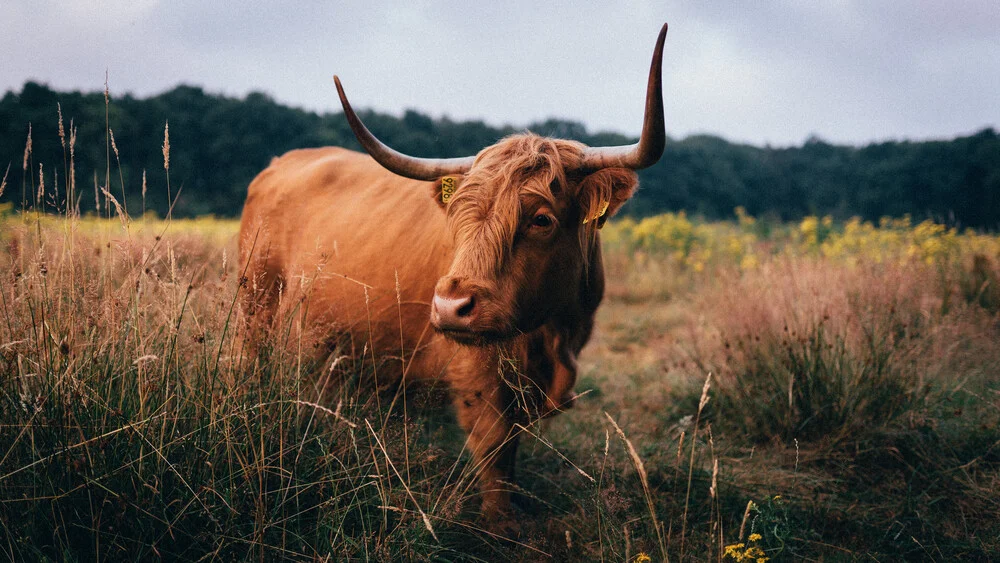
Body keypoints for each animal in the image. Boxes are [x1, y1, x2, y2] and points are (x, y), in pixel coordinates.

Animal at [238, 24, 668, 524]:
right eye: (458, 214)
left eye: (541, 219)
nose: (449, 307)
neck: (552, 332)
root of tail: (279, 164)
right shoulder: (476, 376)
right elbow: (495, 451)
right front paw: (501, 523)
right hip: (256, 310)